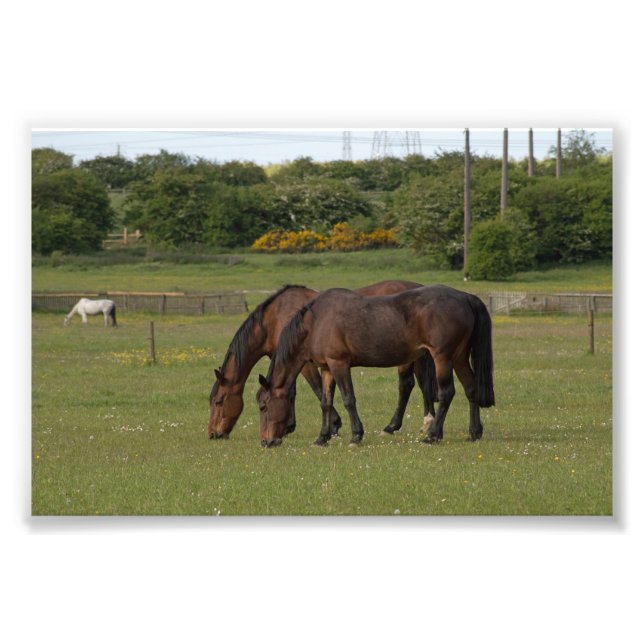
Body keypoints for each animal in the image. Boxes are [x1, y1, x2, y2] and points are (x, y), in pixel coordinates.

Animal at [207, 281, 437, 440]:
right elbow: (293, 392)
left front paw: (334, 425)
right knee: (423, 385)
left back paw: (392, 427)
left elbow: (317, 391)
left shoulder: (307, 364)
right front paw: (290, 426)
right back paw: (426, 423)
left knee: (405, 386)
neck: (276, 318)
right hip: (417, 356)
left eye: (218, 401)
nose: (213, 434)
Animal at [256, 285, 495, 448]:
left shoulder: (339, 364)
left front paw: (356, 435)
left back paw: (432, 435)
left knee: (447, 393)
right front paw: (322, 438)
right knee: (471, 389)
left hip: (443, 358)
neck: (316, 322)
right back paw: (474, 432)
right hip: (459, 357)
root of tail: (465, 297)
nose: (266, 442)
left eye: (263, 406)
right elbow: (325, 403)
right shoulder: (327, 369)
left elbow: (348, 399)